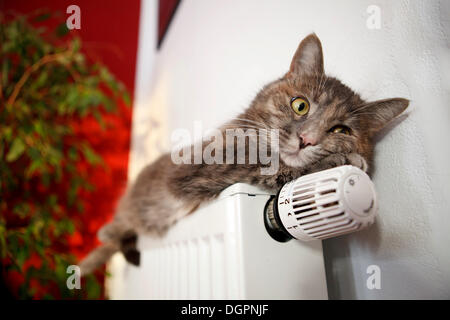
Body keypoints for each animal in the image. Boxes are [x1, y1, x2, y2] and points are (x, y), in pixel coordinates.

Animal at [79, 34, 410, 276]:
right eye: (300, 104)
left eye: (341, 130)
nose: (307, 139)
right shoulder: (205, 167)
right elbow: (267, 167)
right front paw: (341, 161)